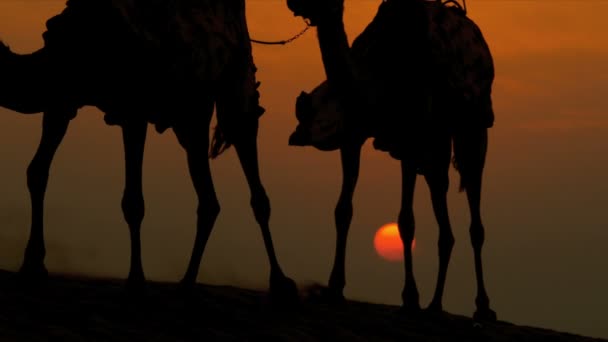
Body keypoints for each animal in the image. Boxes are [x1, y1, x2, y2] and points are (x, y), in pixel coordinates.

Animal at [0, 0, 296, 300]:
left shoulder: (133, 109)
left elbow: (133, 201)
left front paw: (136, 281)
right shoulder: (63, 98)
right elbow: (37, 172)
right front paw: (32, 266)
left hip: (234, 86)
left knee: (250, 170)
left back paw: (280, 282)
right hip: (188, 115)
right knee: (209, 198)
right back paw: (187, 283)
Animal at [288, 0, 496, 320]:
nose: (294, 4)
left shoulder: (410, 141)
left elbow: (405, 221)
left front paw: (410, 297)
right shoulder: (354, 136)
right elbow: (343, 209)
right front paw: (334, 288)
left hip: (472, 128)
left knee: (474, 207)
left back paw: (482, 307)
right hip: (437, 140)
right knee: (442, 201)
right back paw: (435, 304)